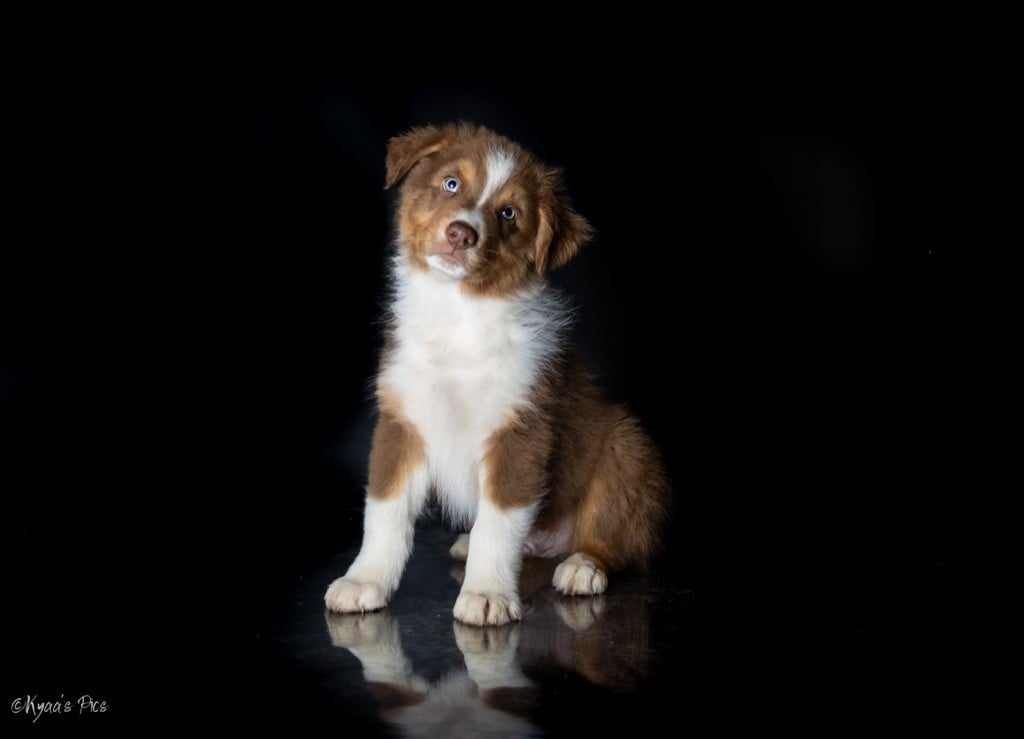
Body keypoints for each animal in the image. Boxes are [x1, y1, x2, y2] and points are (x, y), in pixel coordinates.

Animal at [323, 123, 667, 626]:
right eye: (451, 183)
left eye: (508, 213)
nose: (461, 234)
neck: (460, 314)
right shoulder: (402, 420)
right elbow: (385, 512)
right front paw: (364, 581)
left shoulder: (520, 430)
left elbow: (499, 523)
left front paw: (487, 594)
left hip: (626, 449)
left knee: (619, 539)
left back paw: (584, 566)